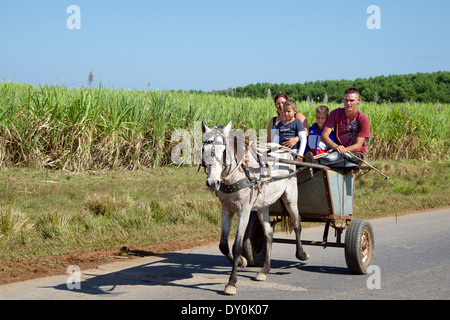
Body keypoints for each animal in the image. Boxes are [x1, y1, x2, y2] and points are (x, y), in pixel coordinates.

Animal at [201, 120, 310, 296]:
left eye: (223, 150)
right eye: (204, 149)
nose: (212, 183)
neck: (238, 174)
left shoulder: (244, 210)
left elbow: (237, 246)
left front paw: (232, 283)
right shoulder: (226, 210)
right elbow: (223, 245)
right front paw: (242, 262)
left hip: (290, 197)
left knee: (297, 224)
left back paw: (301, 254)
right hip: (263, 206)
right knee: (269, 234)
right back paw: (264, 270)